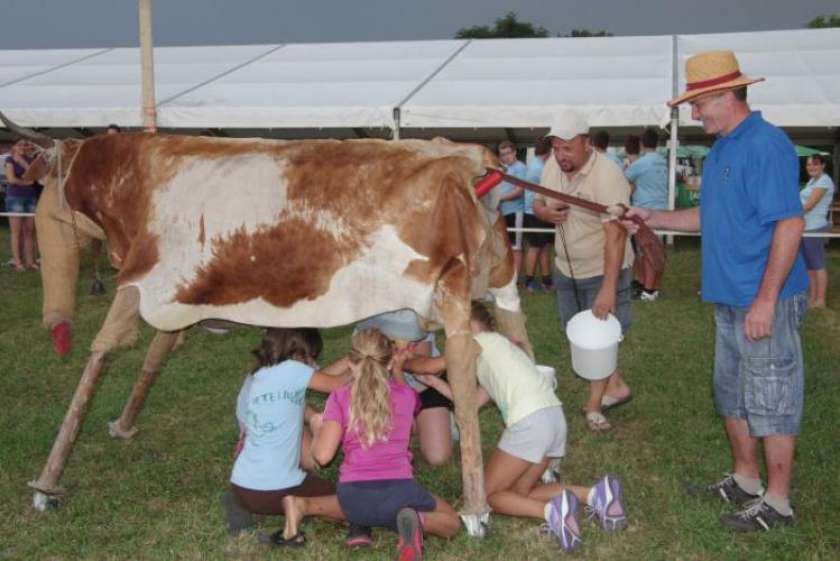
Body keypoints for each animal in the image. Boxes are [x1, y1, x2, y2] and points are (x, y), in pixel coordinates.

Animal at [4, 112, 532, 532]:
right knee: (519, 339)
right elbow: (157, 352)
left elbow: (98, 357)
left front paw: (46, 484)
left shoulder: (142, 281)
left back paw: (476, 507)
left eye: (48, 187)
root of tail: (469, 159)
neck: (135, 180)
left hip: (454, 291)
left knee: (464, 359)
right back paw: (538, 467)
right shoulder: (174, 299)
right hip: (500, 280)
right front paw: (123, 424)